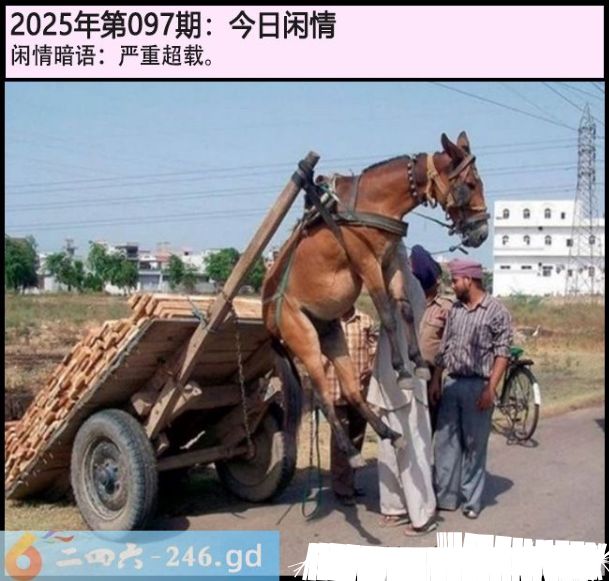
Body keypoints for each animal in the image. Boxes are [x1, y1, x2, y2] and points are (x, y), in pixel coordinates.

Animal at [262, 131, 489, 467]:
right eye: (470, 184)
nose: (481, 232)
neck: (373, 203)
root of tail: (268, 320)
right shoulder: (366, 263)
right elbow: (387, 314)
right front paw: (402, 371)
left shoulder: (390, 260)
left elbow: (405, 309)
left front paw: (418, 362)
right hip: (304, 340)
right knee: (322, 396)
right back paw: (351, 451)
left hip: (331, 335)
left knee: (352, 390)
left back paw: (390, 434)